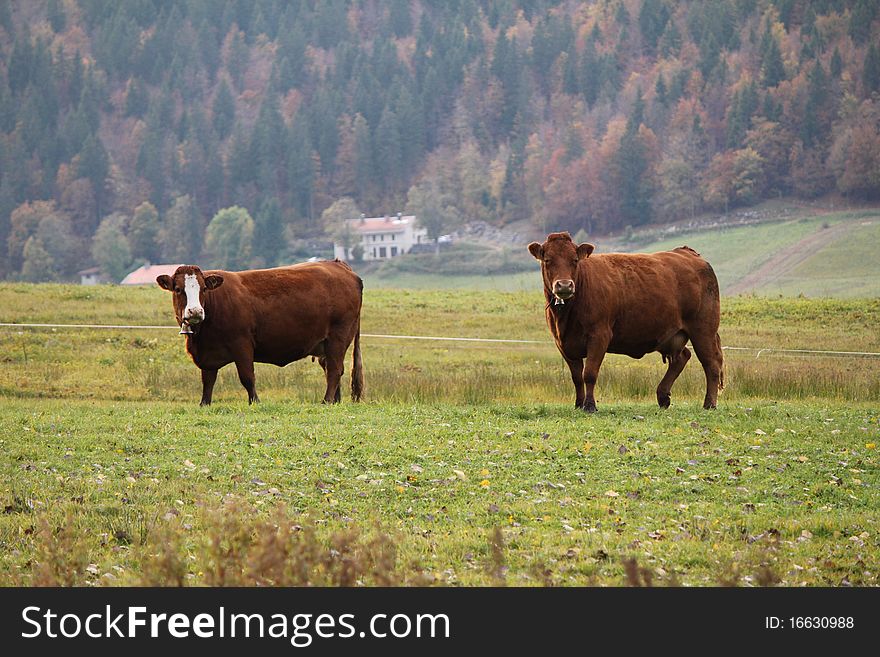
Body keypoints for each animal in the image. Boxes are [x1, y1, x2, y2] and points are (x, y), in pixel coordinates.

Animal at [156, 260, 362, 404]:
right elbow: (208, 381)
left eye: (204, 288)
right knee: (330, 368)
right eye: (177, 289)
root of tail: (338, 265)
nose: (196, 312)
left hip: (338, 337)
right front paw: (204, 403)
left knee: (335, 370)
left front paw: (254, 401)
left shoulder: (242, 344)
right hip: (325, 344)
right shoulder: (208, 354)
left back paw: (326, 401)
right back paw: (335, 401)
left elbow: (247, 377)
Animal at [528, 232, 720, 410]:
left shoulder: (599, 336)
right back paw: (663, 396)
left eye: (574, 260)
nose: (565, 285)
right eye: (547, 260)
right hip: (672, 335)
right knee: (681, 357)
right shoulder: (563, 343)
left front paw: (589, 405)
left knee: (711, 363)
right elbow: (576, 377)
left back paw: (709, 403)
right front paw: (578, 404)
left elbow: (589, 373)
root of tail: (688, 253)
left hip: (703, 329)